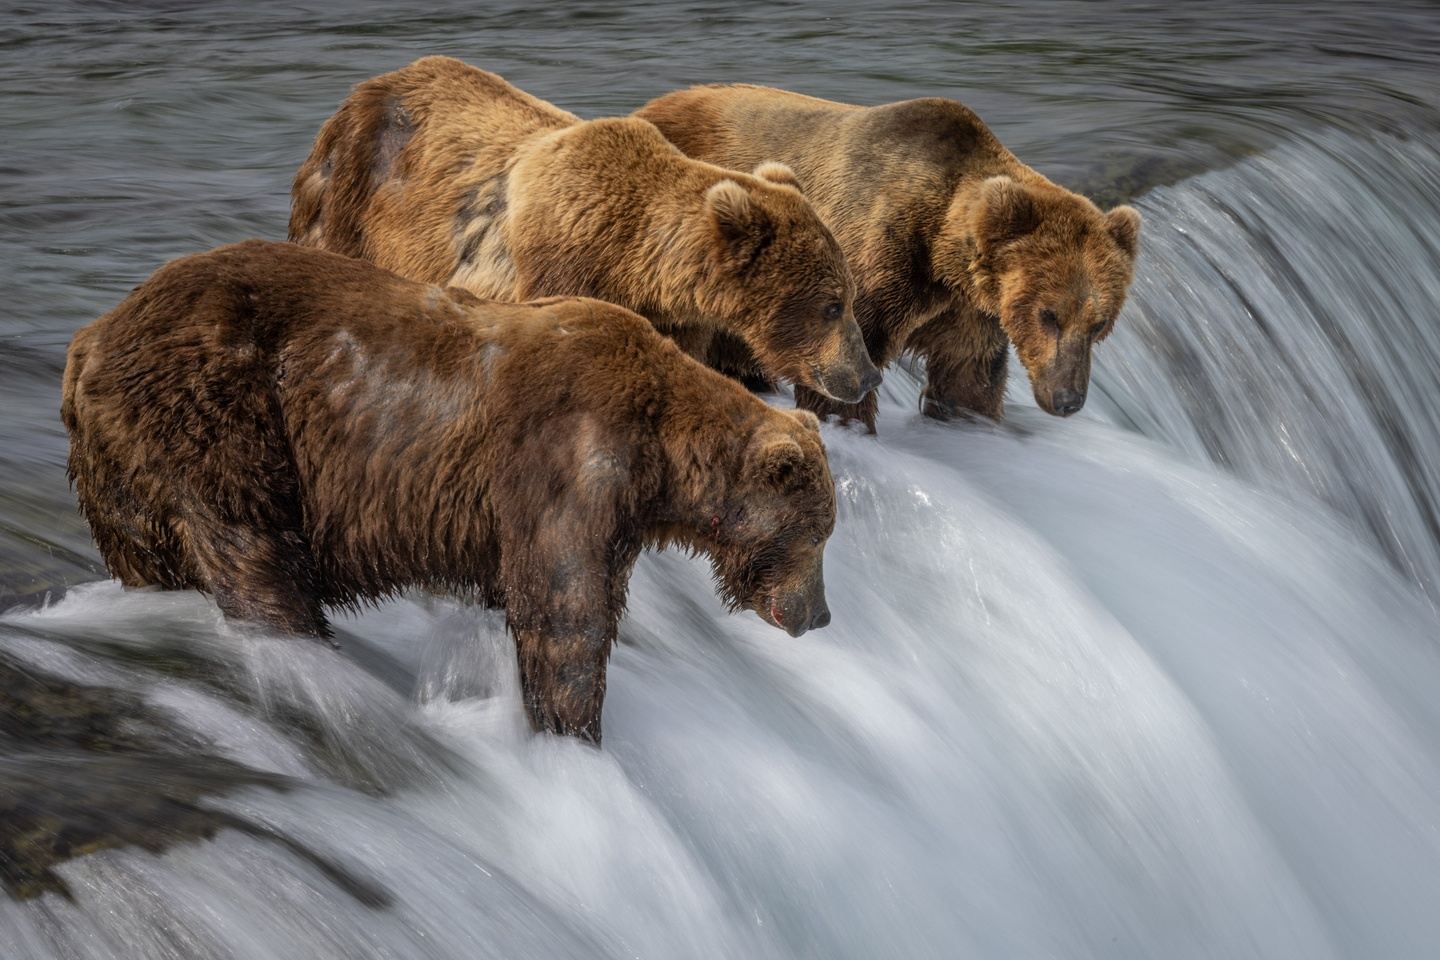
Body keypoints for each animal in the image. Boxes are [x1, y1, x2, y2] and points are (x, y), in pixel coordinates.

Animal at [62, 241, 837, 743]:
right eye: (818, 535)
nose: (822, 615)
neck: (662, 457)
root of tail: (89, 338)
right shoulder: (566, 459)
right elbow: (565, 614)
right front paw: (572, 731)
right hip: (217, 415)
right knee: (250, 545)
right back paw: (303, 653)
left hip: (116, 470)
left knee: (150, 557)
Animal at [289, 56, 881, 406]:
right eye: (831, 305)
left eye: (850, 296)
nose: (868, 374)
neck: (633, 261)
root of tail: (361, 89)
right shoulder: (557, 270)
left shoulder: (676, 317)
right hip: (353, 195)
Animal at [636, 85, 1143, 431]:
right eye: (1049, 315)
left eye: (1099, 324)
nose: (1067, 398)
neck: (941, 253)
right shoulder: (873, 263)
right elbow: (846, 359)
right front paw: (850, 420)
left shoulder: (968, 310)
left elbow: (969, 376)